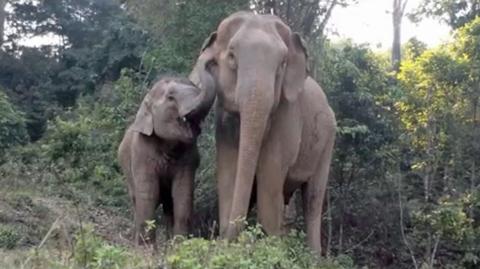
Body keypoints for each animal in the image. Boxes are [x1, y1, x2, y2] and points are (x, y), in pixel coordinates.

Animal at [117, 72, 215, 244]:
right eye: (170, 97)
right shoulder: (141, 154)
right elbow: (149, 195)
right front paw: (146, 249)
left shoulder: (188, 157)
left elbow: (183, 194)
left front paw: (180, 245)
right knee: (137, 201)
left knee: (169, 205)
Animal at [189, 11, 336, 253]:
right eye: (232, 56)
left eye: (282, 63)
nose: (205, 64)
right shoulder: (224, 122)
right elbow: (228, 170)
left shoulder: (287, 115)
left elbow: (270, 171)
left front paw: (271, 248)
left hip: (328, 143)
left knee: (313, 199)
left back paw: (313, 256)